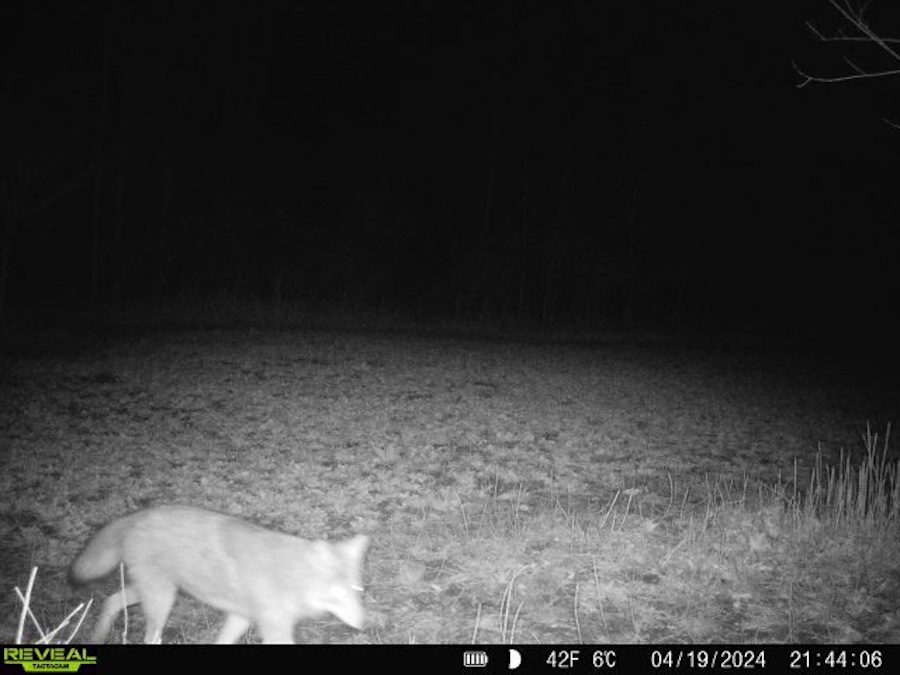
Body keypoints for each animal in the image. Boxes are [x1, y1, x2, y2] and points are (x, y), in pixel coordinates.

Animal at [68, 505, 369, 644]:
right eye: (338, 595)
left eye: (356, 592)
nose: (362, 624)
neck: (288, 576)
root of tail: (140, 514)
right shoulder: (274, 629)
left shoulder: (240, 617)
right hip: (162, 600)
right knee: (149, 636)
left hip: (153, 592)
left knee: (110, 601)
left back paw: (96, 636)